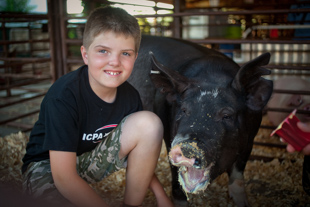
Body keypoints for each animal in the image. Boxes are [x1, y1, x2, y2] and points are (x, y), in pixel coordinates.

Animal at [127, 35, 272, 205]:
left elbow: (237, 176)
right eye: (184, 110)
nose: (187, 146)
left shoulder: (250, 141)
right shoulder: (168, 136)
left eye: (227, 115)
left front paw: (242, 203)